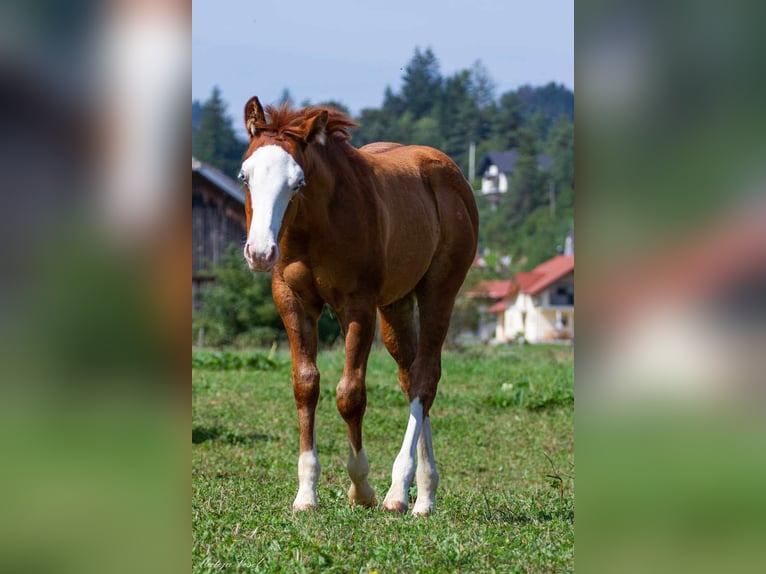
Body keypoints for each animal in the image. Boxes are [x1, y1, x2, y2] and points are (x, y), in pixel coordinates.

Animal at [240, 95, 480, 516]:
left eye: (297, 182)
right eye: (244, 177)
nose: (260, 253)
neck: (314, 226)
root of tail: (451, 173)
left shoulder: (359, 307)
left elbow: (350, 394)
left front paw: (361, 487)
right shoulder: (292, 300)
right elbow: (306, 385)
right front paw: (306, 494)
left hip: (439, 290)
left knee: (426, 376)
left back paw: (401, 491)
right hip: (397, 305)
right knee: (410, 376)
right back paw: (425, 490)